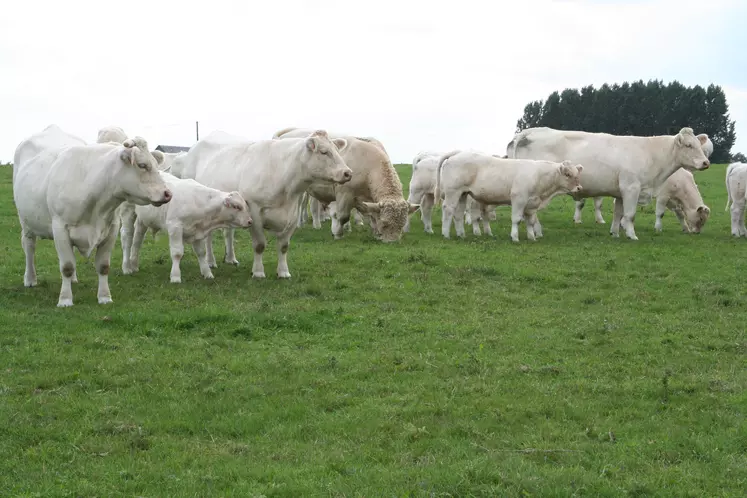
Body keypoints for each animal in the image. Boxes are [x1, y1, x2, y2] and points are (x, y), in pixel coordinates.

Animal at [13, 123, 172, 308]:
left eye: (155, 164)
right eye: (142, 165)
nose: (167, 193)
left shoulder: (111, 229)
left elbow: (103, 266)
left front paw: (104, 297)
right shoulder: (60, 228)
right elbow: (66, 266)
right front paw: (65, 300)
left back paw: (73, 280)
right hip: (25, 221)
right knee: (29, 246)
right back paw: (30, 279)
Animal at [180, 128, 352, 278]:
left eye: (337, 150)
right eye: (324, 152)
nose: (348, 173)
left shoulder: (293, 214)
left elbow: (284, 246)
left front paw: (283, 272)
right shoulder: (254, 212)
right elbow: (259, 245)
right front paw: (258, 272)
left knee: (228, 233)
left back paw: (230, 258)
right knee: (208, 238)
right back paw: (210, 261)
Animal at [274, 127, 420, 242]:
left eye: (402, 225)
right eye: (385, 223)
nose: (392, 241)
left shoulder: (364, 200)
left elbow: (370, 214)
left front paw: (375, 232)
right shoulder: (344, 193)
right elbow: (343, 216)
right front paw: (337, 233)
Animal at [436, 151, 588, 242]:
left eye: (577, 174)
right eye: (567, 174)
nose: (579, 188)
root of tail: (457, 154)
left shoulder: (532, 204)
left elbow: (530, 222)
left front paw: (531, 237)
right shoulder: (518, 199)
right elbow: (517, 219)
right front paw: (515, 237)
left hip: (463, 194)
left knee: (458, 213)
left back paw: (461, 234)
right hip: (453, 192)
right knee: (448, 210)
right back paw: (446, 234)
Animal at [506, 126, 712, 239]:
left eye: (698, 145)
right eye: (689, 145)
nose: (706, 162)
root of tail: (526, 133)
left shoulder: (621, 192)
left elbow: (618, 214)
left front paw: (615, 232)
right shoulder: (632, 188)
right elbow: (630, 215)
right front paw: (632, 235)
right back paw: (537, 231)